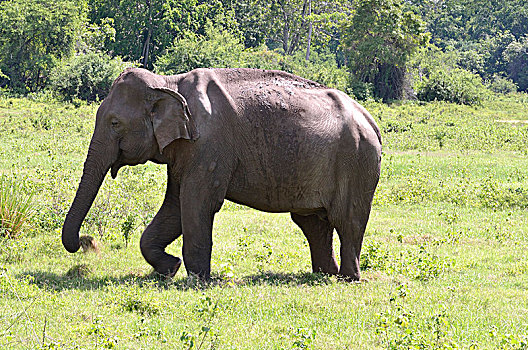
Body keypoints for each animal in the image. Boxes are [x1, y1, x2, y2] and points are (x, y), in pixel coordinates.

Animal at [62, 67, 382, 282]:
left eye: (114, 123)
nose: (86, 241)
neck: (168, 83)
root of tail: (371, 121)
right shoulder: (186, 149)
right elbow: (175, 204)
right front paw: (171, 268)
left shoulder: (209, 146)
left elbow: (196, 202)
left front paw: (198, 280)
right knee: (313, 223)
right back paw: (324, 275)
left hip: (356, 161)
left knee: (347, 220)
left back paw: (348, 278)